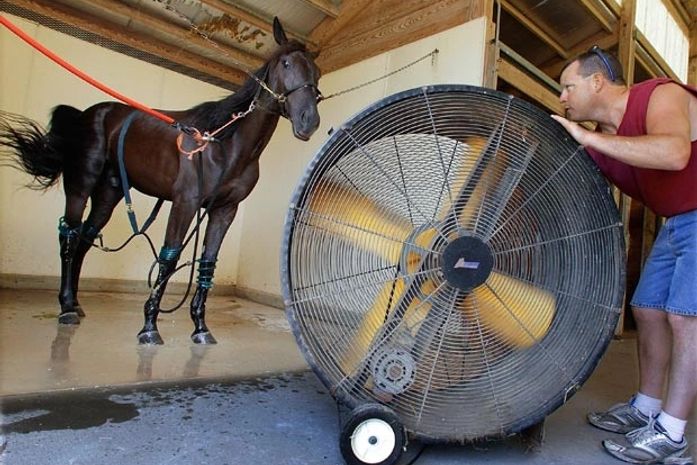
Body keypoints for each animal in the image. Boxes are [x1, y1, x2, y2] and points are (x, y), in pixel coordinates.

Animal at [0, 17, 321, 345]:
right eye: (285, 63)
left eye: (316, 73)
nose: (309, 120)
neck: (224, 144)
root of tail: (85, 116)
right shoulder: (185, 203)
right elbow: (169, 259)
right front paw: (150, 326)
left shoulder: (224, 211)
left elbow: (207, 263)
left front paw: (201, 327)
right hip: (80, 185)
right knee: (69, 236)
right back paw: (66, 306)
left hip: (109, 194)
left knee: (85, 239)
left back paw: (75, 303)